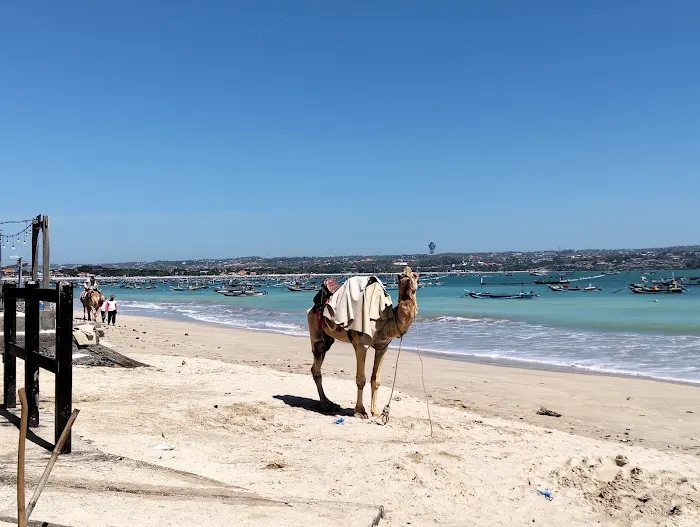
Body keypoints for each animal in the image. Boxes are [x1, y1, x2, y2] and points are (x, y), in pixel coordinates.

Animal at [304, 268, 416, 420]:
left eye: (415, 275)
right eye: (400, 276)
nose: (407, 277)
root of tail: (311, 307)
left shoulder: (383, 347)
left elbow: (376, 379)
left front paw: (376, 411)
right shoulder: (361, 345)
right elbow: (361, 379)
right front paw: (360, 411)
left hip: (328, 339)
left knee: (316, 364)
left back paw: (330, 402)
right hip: (315, 330)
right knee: (317, 365)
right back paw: (324, 405)